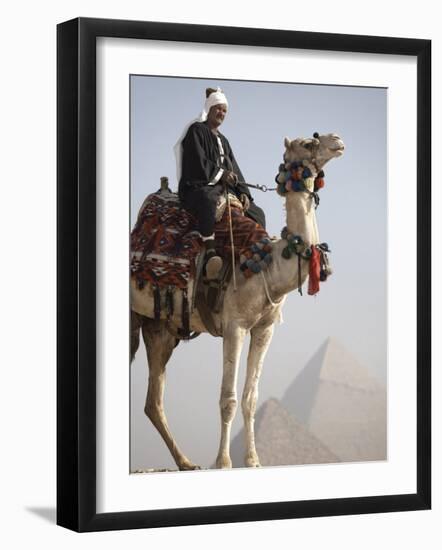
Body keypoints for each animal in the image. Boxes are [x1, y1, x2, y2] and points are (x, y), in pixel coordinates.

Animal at [129, 133, 344, 470]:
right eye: (309, 142)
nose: (337, 140)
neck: (267, 265)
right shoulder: (235, 326)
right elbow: (228, 398)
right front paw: (223, 461)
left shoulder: (265, 328)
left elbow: (250, 397)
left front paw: (253, 460)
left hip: (159, 329)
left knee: (153, 401)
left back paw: (187, 462)